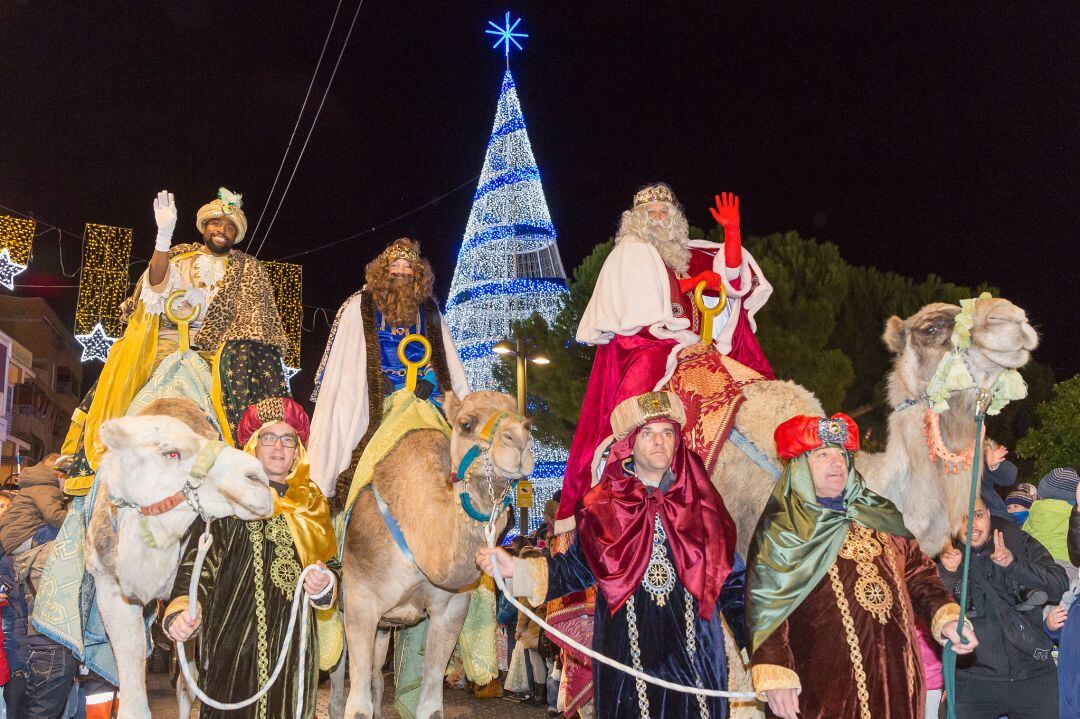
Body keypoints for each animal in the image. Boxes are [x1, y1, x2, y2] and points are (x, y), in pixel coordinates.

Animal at [341, 392, 531, 716]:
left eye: (526, 420)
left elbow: (430, 707)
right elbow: (358, 707)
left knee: (377, 680)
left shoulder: (450, 609)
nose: (519, 440)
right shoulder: (360, 604)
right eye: (466, 424)